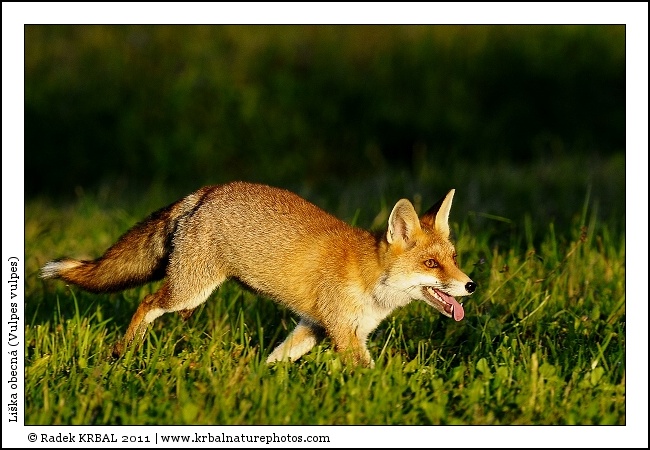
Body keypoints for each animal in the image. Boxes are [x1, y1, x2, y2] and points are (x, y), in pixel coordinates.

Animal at [40, 181, 476, 367]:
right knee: (147, 302)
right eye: (431, 265)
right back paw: (123, 350)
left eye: (453, 258)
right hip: (191, 289)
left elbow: (275, 360)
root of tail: (206, 192)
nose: (470, 285)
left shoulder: (313, 327)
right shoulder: (342, 333)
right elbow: (368, 373)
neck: (370, 280)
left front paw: (257, 382)